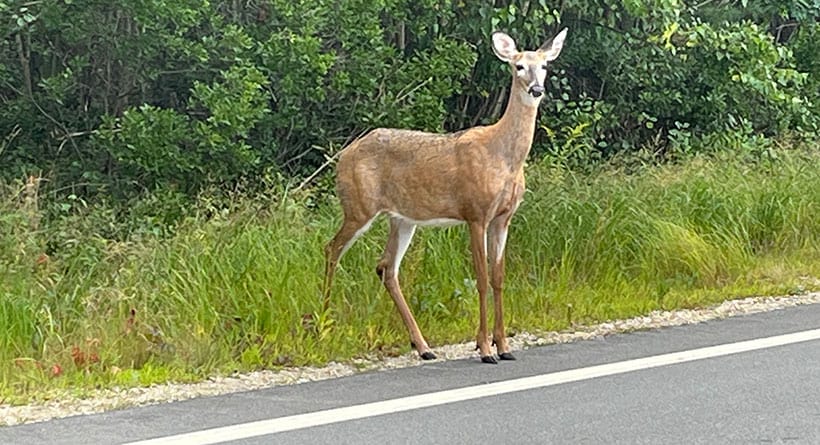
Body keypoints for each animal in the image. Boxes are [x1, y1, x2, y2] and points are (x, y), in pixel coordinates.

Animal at [323, 28, 568, 364]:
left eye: (544, 66)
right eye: (518, 66)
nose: (537, 89)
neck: (504, 158)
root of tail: (342, 156)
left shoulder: (503, 218)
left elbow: (499, 277)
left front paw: (504, 346)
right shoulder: (475, 212)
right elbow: (481, 278)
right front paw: (485, 349)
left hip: (402, 218)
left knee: (386, 267)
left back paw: (423, 346)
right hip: (359, 205)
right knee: (331, 249)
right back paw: (322, 324)